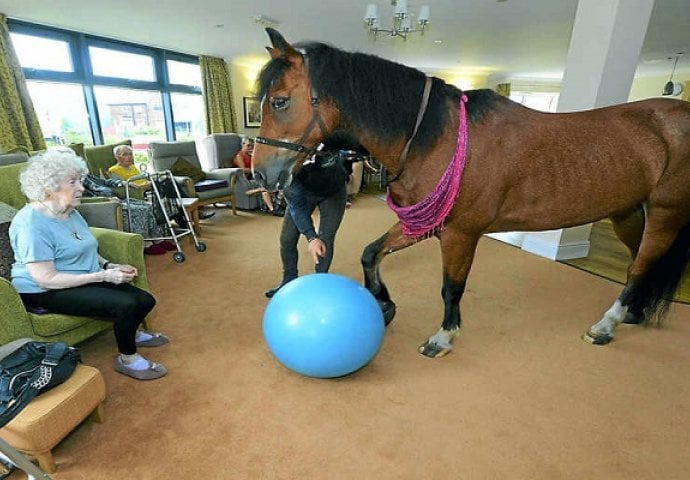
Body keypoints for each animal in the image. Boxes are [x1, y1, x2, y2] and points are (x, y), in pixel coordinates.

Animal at [250, 26, 688, 356]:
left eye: (280, 101)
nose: (261, 173)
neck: (431, 137)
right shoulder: (422, 223)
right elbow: (371, 253)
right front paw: (384, 303)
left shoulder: (461, 233)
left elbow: (451, 287)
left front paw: (444, 336)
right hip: (627, 212)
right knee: (638, 265)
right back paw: (631, 313)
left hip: (665, 213)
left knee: (640, 266)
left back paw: (606, 325)